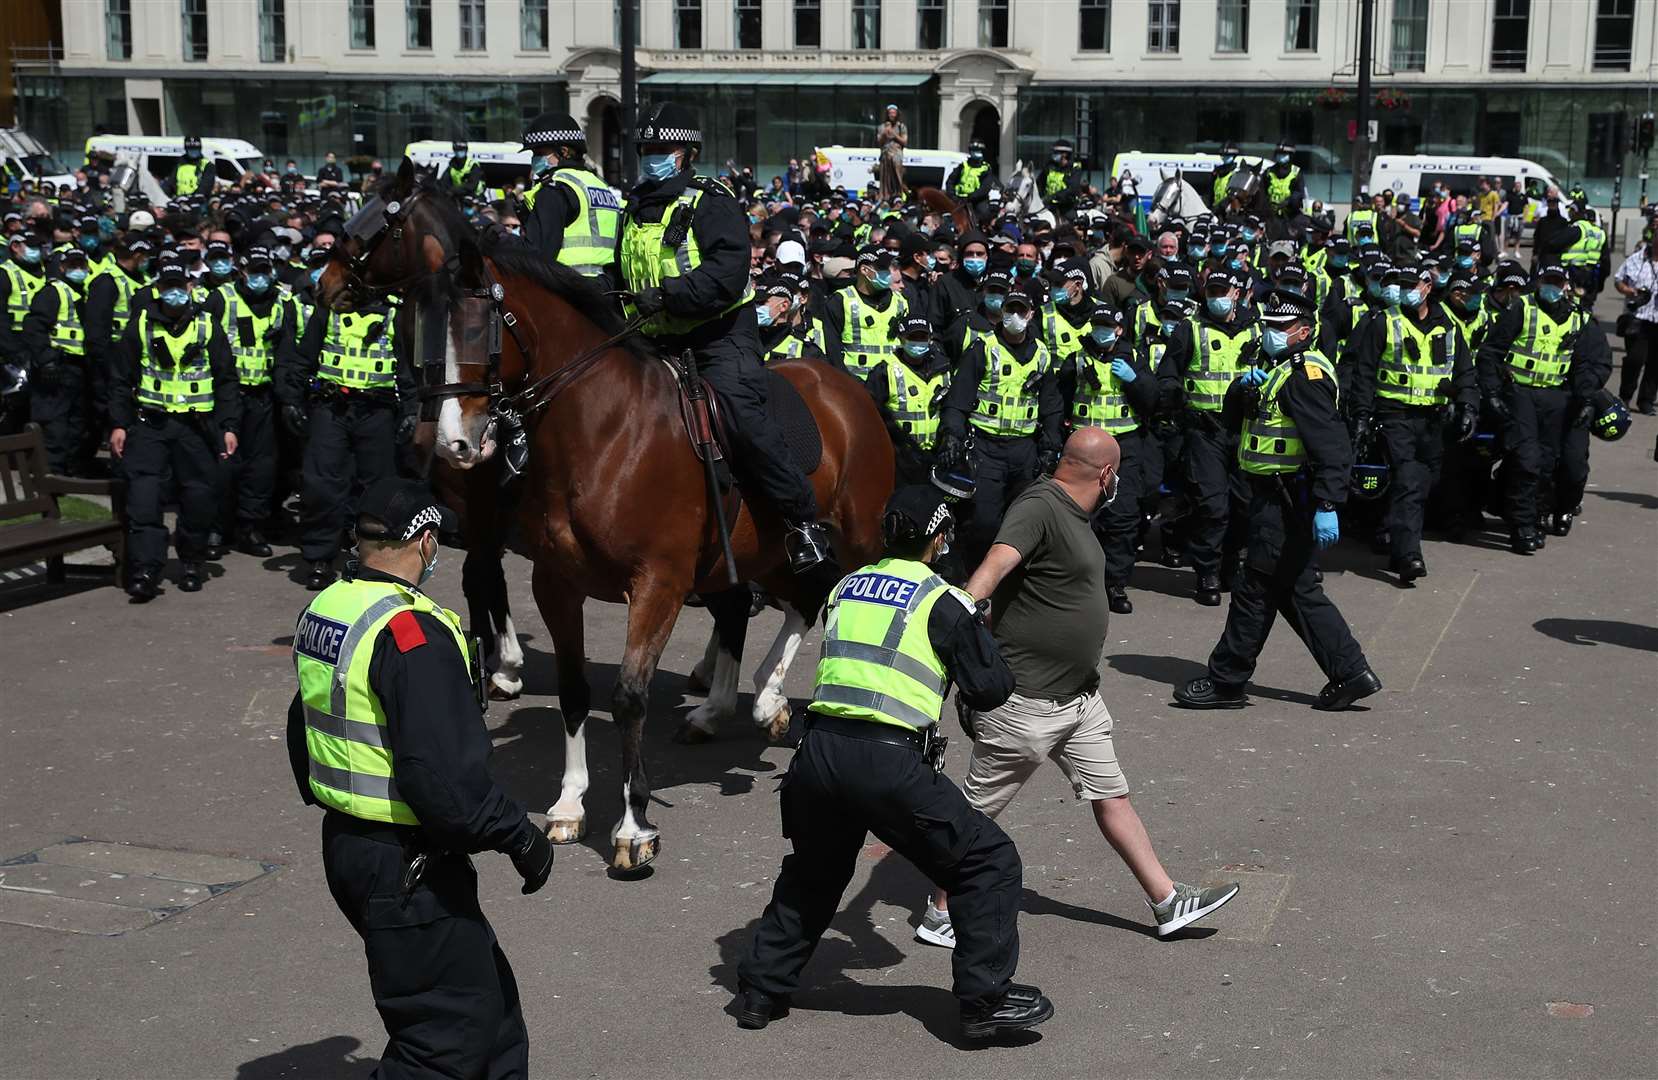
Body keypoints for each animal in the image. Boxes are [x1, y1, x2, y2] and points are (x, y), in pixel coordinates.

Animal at [321, 170, 895, 875]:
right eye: (427, 331)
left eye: (482, 332)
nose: (457, 442)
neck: (604, 435)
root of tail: (846, 385)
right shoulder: (554, 581)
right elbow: (572, 689)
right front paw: (569, 804)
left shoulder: (657, 582)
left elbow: (627, 695)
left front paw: (633, 824)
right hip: (754, 550)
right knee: (780, 602)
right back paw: (740, 703)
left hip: (848, 537)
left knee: (829, 593)